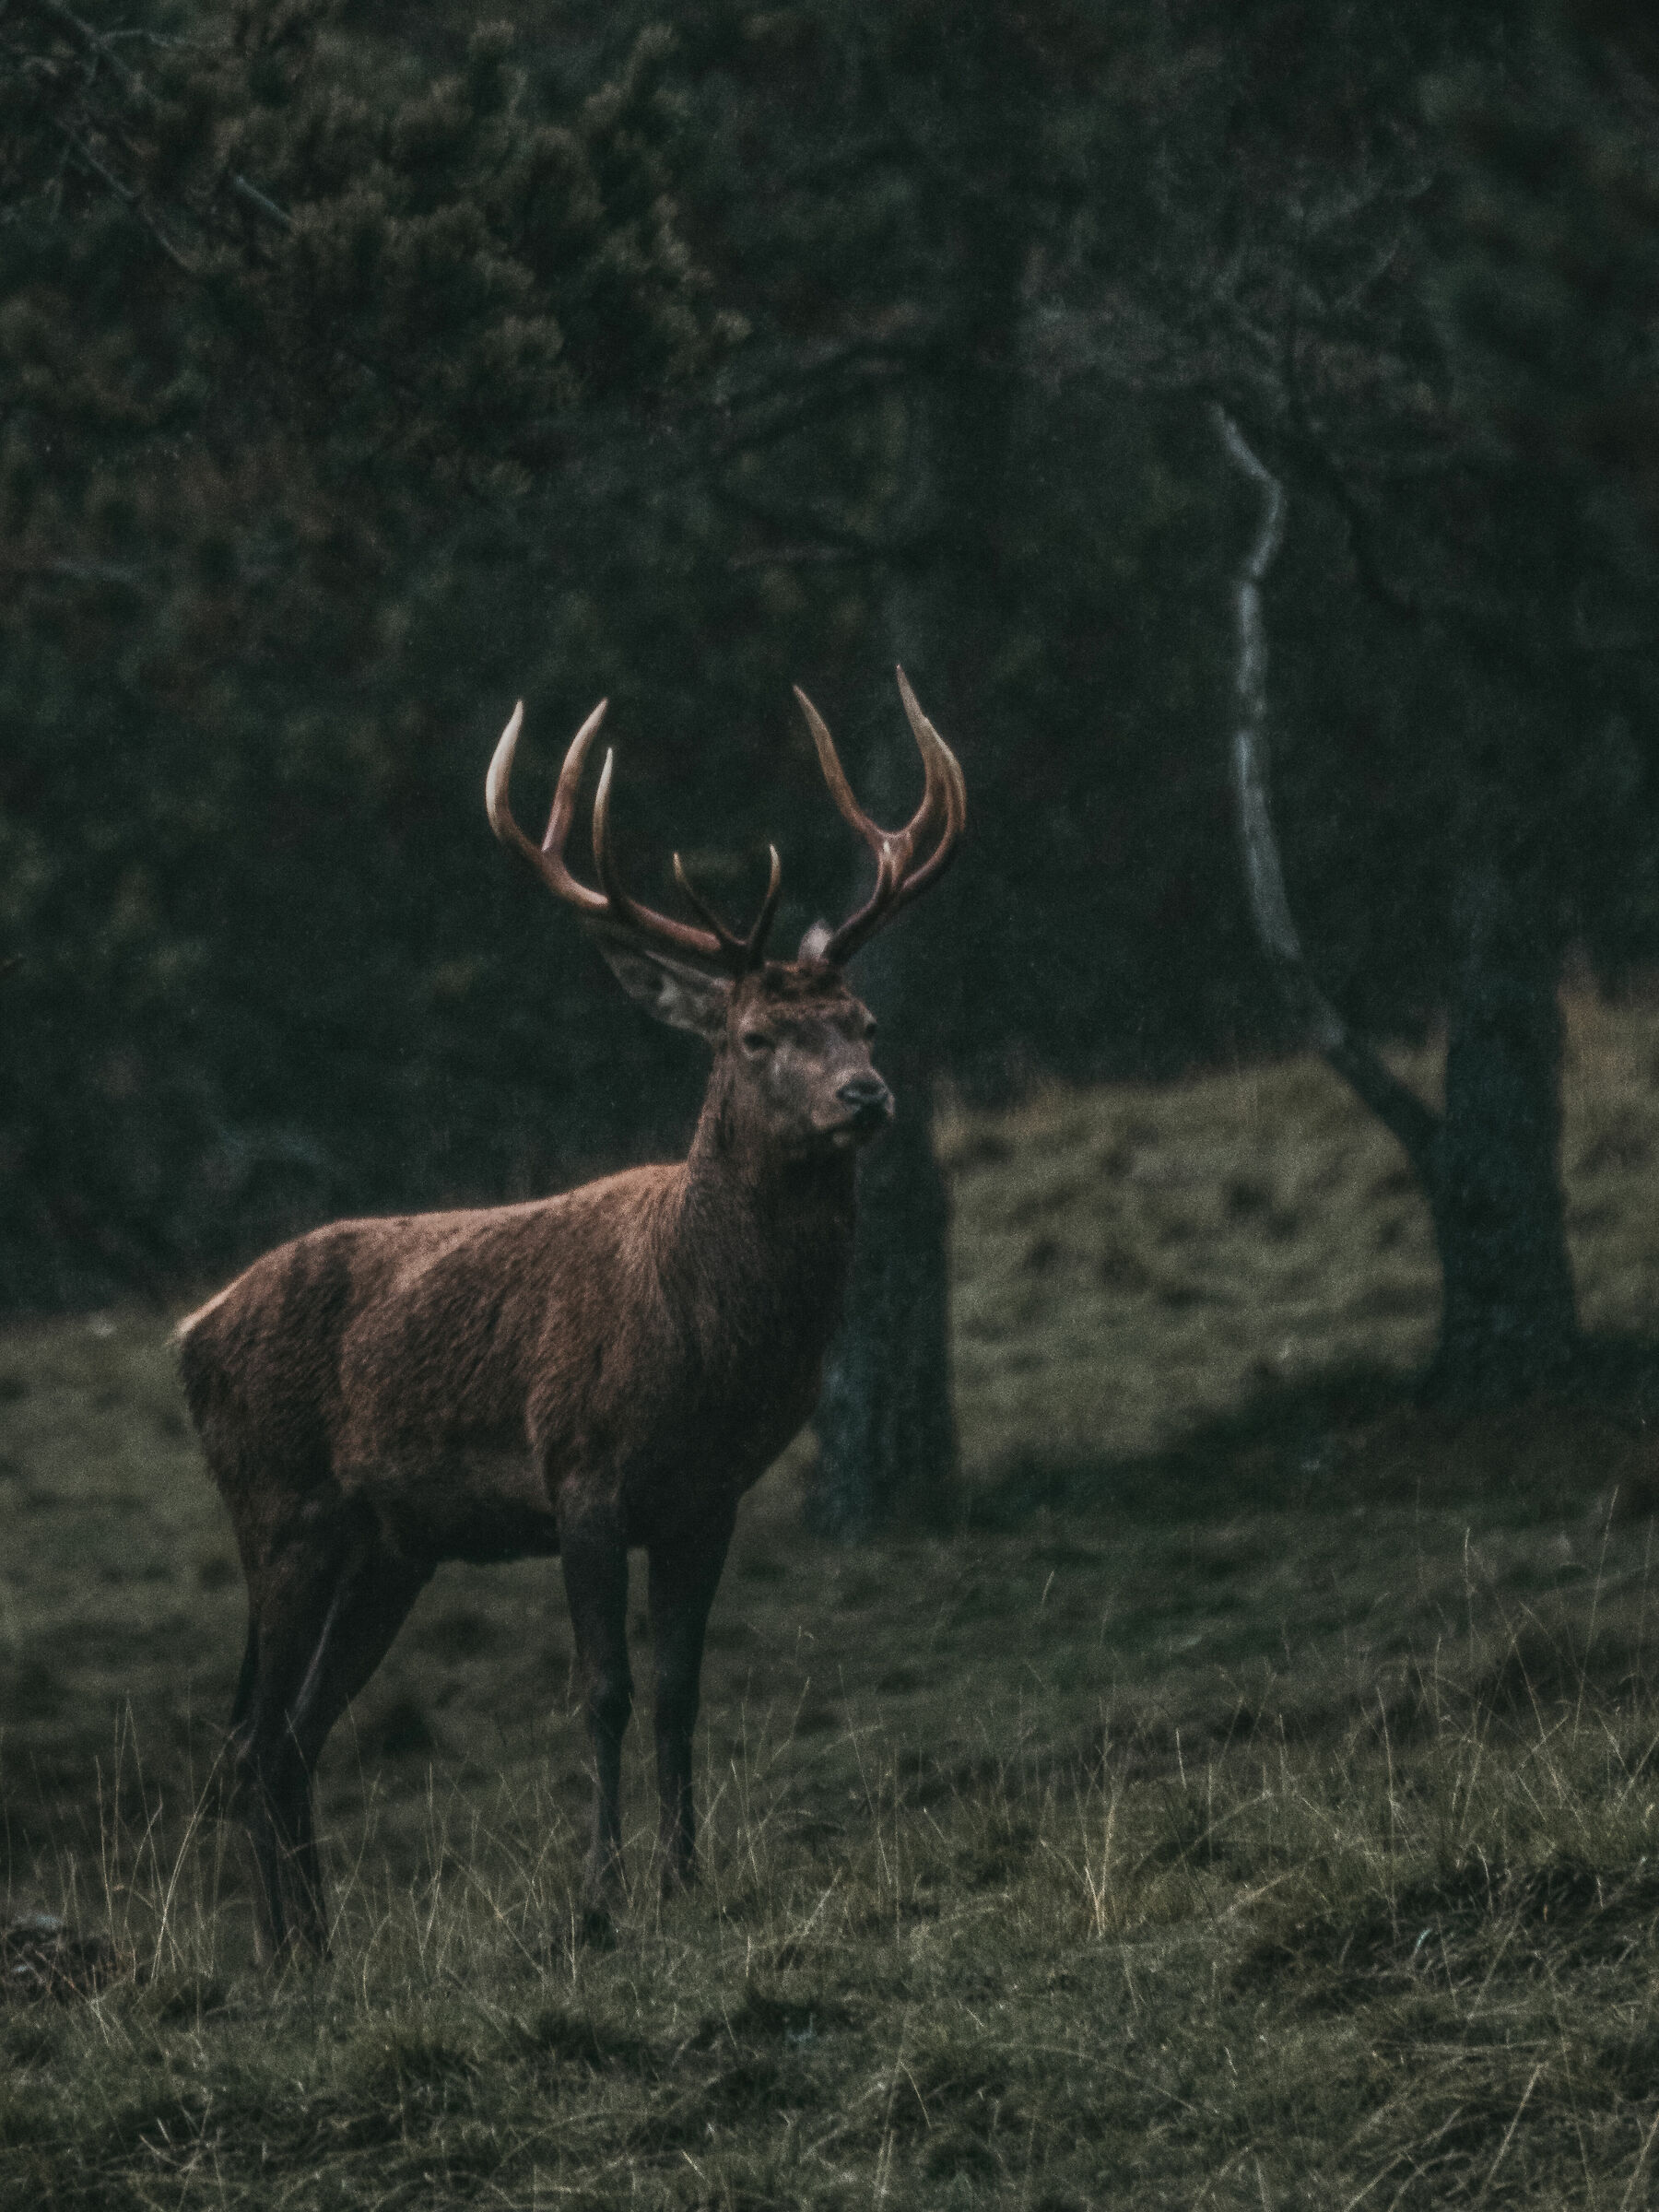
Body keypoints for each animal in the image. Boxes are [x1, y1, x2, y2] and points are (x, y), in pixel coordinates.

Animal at [177, 670, 964, 1960]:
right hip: (279, 1507)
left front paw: (686, 1874)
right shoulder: (582, 1470)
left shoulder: (707, 1499)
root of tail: (187, 1336)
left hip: (387, 1545)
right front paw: (600, 1890)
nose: (867, 1096)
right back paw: (282, 1953)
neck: (706, 1344)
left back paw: (327, 1948)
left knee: (292, 1733)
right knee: (247, 1736)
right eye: (755, 1036)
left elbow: (683, 1687)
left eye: (866, 1021)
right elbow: (604, 1690)